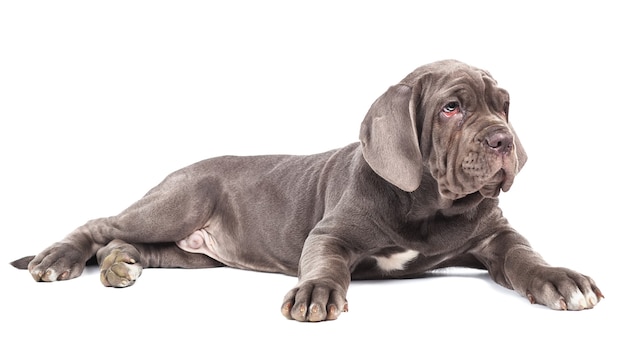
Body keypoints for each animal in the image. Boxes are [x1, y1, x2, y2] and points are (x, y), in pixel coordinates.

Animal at [12, 59, 604, 322]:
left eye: (504, 106)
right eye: (452, 108)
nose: (503, 139)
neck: (428, 206)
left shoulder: (496, 238)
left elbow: (527, 257)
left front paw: (561, 279)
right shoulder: (330, 235)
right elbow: (326, 263)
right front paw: (315, 292)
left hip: (194, 255)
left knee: (137, 247)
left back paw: (121, 264)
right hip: (178, 202)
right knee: (101, 225)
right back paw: (59, 259)